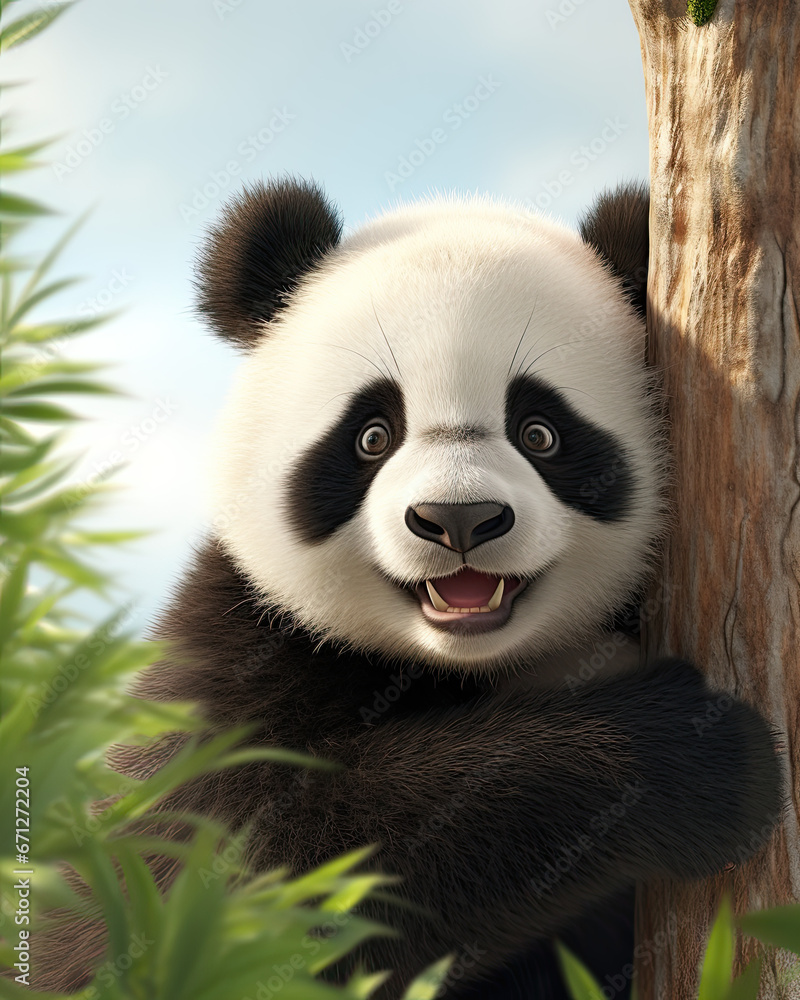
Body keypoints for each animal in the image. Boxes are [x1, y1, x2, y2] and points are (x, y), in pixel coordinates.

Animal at [42, 179, 783, 999]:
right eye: (372, 435)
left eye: (540, 432)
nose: (458, 519)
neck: (472, 665)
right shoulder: (231, 656)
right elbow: (249, 875)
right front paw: (698, 754)